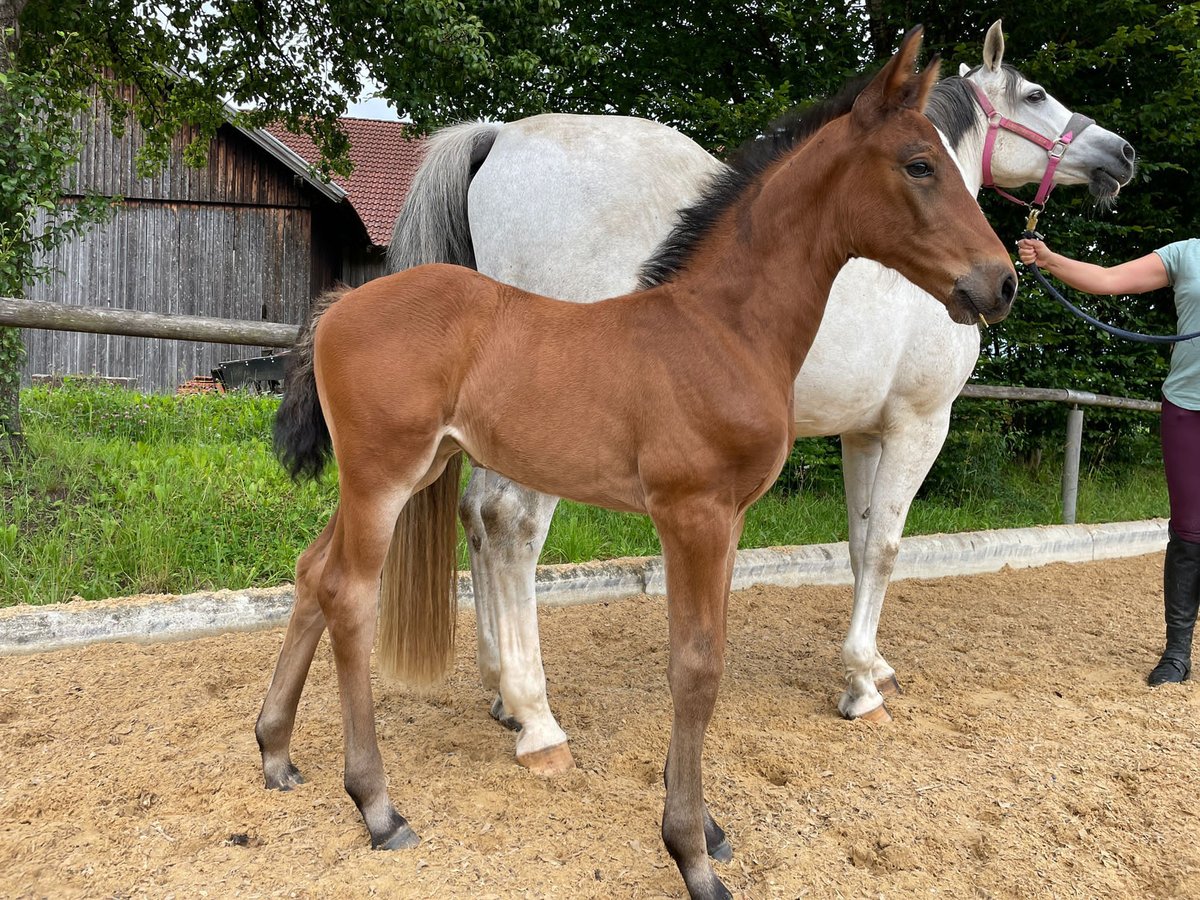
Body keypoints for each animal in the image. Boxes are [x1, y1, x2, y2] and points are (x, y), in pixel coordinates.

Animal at [259, 30, 1016, 899]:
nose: (1000, 282)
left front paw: (709, 830)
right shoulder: (693, 513)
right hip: (384, 476)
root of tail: (338, 307)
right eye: (920, 165)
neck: (721, 328)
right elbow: (696, 668)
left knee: (314, 571)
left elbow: (707, 656)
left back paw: (275, 750)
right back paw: (381, 806)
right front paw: (691, 853)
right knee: (350, 593)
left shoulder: (729, 518)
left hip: (392, 474)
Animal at [386, 20, 1136, 775]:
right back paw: (537, 719)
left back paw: (501, 693)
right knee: (511, 525)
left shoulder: (862, 432)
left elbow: (859, 541)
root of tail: (499, 139)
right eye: (1035, 94)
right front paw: (862, 686)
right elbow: (887, 546)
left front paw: (871, 667)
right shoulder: (919, 423)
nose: (1123, 154)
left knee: (478, 516)